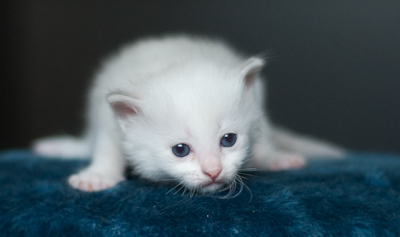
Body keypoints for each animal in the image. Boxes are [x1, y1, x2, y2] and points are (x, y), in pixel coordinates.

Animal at [32, 35, 342, 194]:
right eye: (180, 150)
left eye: (229, 140)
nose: (213, 171)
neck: (174, 61)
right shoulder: (107, 118)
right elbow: (107, 147)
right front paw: (98, 176)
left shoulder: (256, 111)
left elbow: (261, 138)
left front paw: (272, 157)